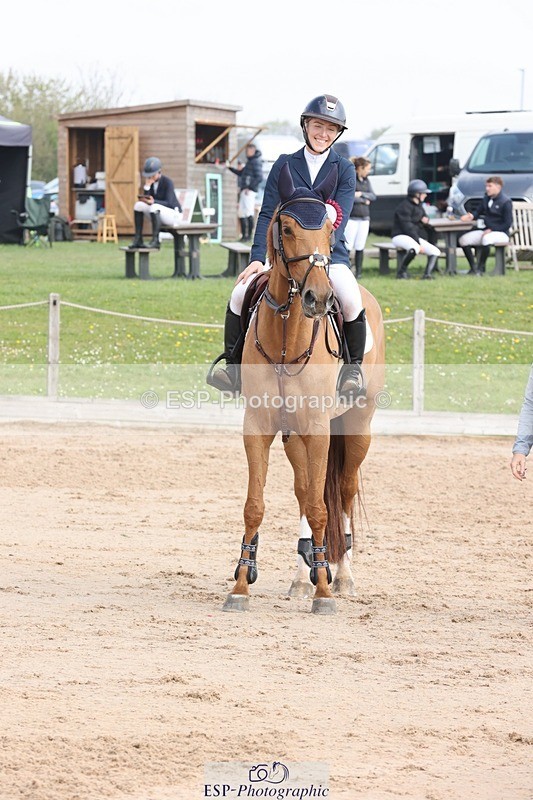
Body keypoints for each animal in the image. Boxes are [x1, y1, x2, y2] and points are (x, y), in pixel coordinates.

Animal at [223, 162, 385, 615]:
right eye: (287, 228)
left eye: (330, 228)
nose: (318, 298)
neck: (286, 335)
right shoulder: (258, 426)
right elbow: (256, 505)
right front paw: (241, 584)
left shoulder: (319, 428)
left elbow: (321, 508)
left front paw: (325, 592)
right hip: (294, 435)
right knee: (302, 491)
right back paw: (303, 576)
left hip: (356, 427)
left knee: (341, 495)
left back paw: (341, 576)